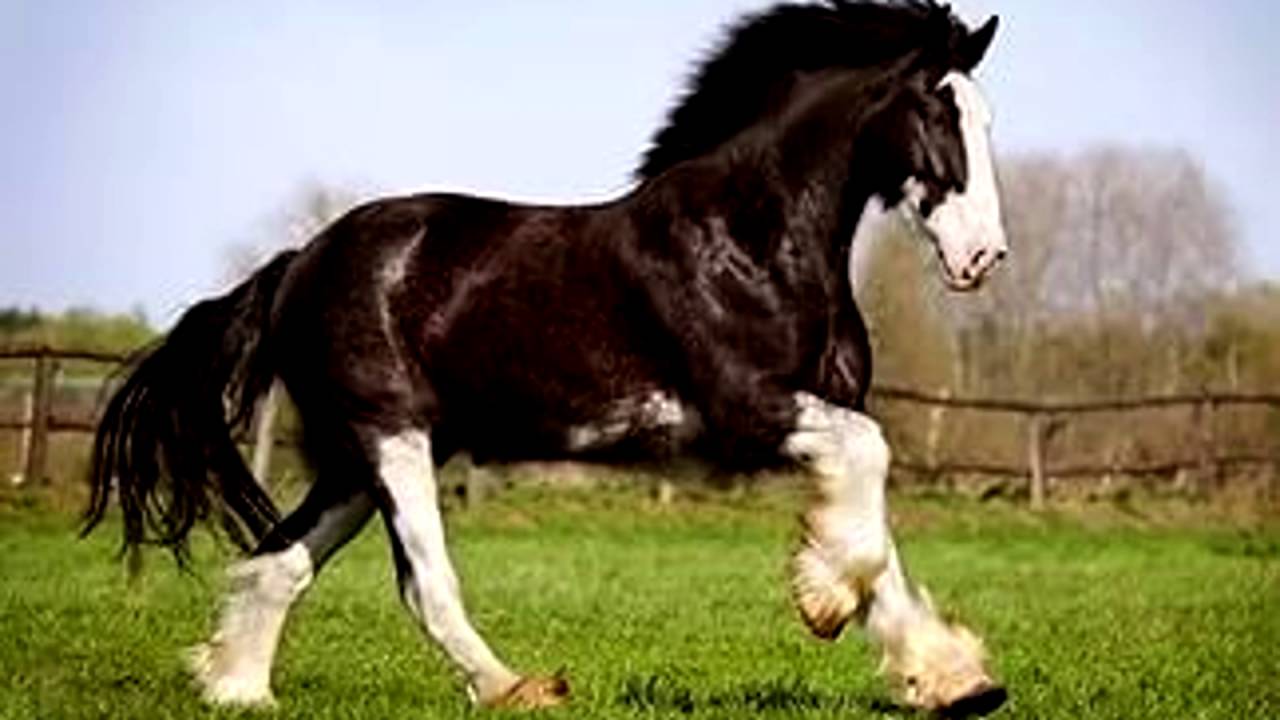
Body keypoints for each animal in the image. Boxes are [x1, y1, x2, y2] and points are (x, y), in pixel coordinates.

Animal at [85, 1, 1008, 712]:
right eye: (940, 114)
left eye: (986, 120)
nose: (983, 257)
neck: (752, 241)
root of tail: (296, 266)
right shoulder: (748, 409)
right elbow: (870, 469)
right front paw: (825, 596)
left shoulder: (810, 411)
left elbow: (878, 533)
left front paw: (953, 680)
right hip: (390, 438)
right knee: (423, 584)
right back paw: (516, 688)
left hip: (355, 461)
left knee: (277, 563)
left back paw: (238, 690)